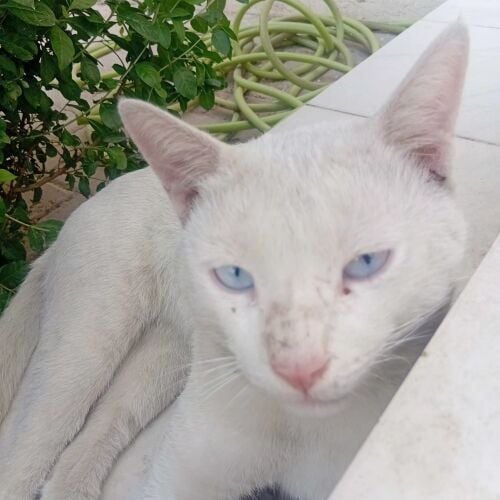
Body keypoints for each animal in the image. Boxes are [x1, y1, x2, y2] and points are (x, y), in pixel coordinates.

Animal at [0, 20, 468, 500]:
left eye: (367, 262)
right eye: (235, 275)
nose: (299, 368)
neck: (296, 431)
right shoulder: (179, 477)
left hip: (168, 356)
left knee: (90, 438)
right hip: (87, 342)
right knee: (27, 451)